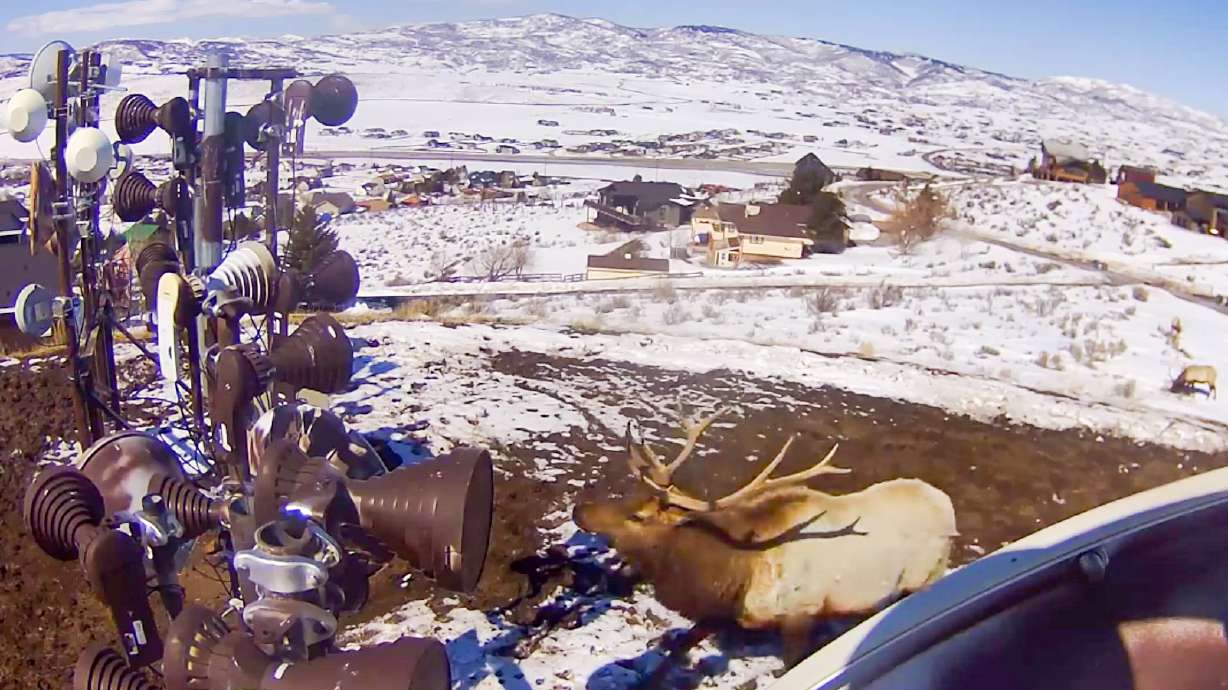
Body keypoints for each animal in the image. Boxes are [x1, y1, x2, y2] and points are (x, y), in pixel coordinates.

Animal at [572, 407, 956, 666]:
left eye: (638, 515)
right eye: (627, 494)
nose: (579, 511)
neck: (737, 571)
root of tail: (947, 504)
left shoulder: (803, 611)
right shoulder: (720, 613)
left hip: (924, 577)